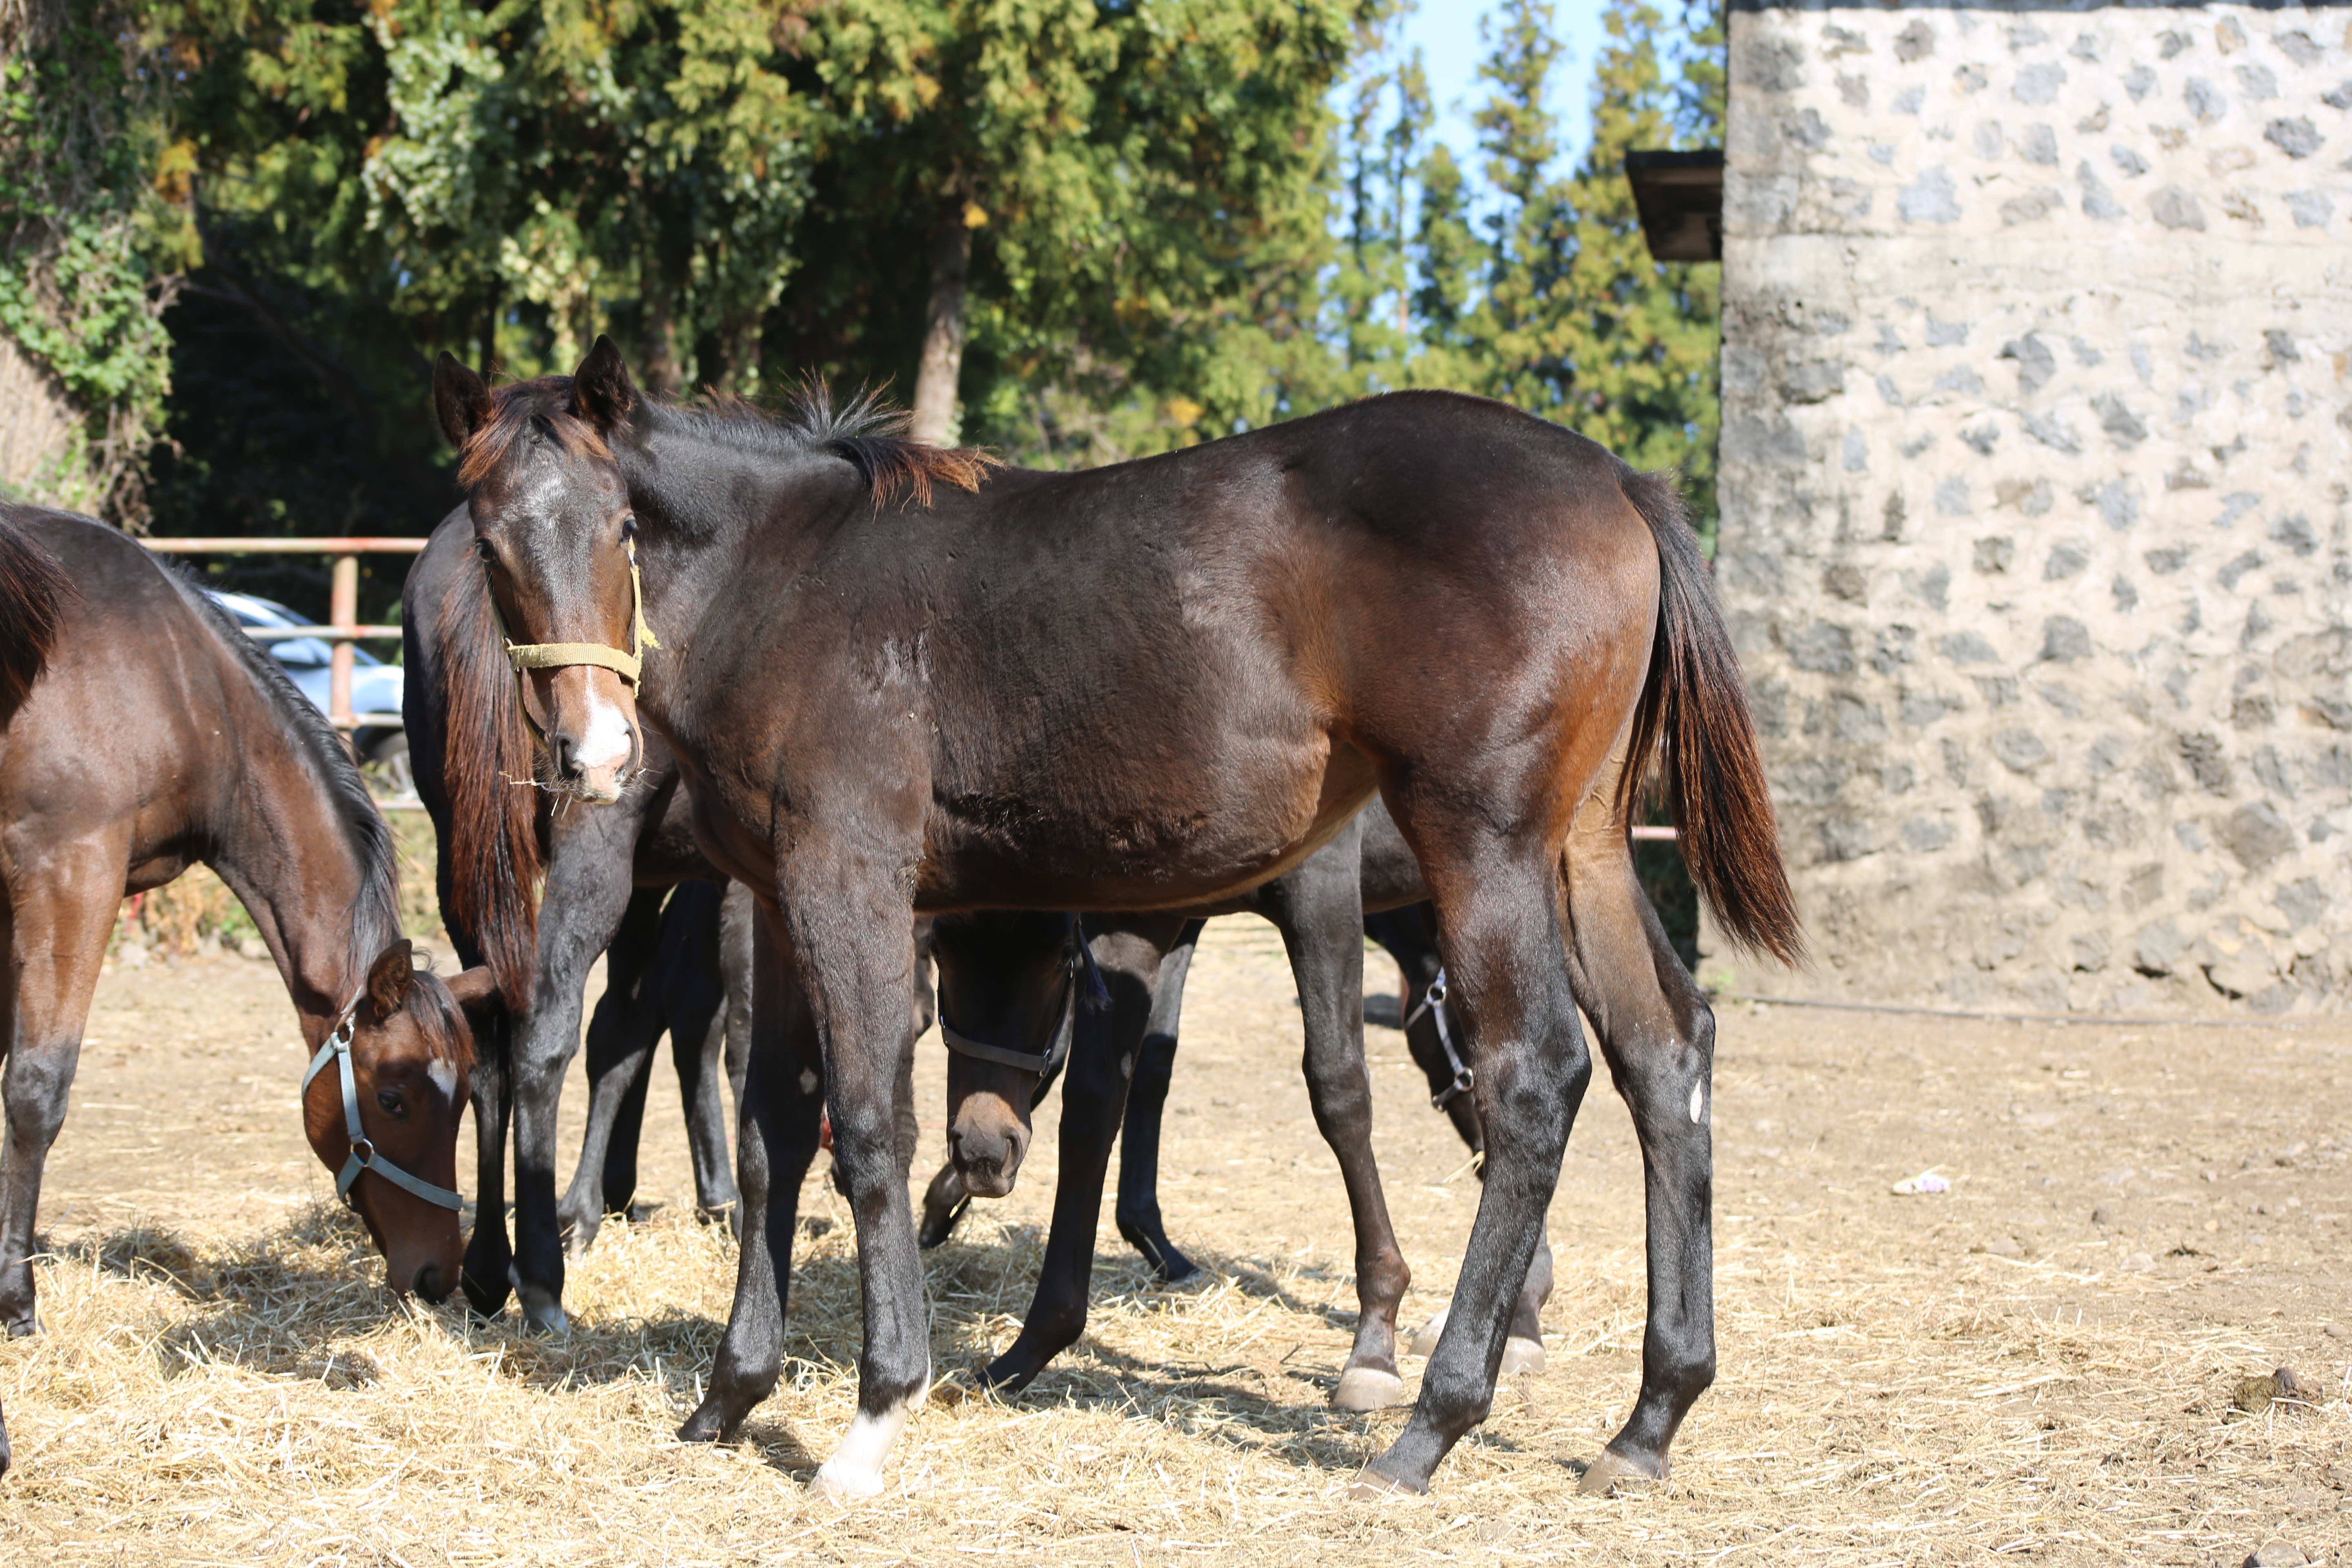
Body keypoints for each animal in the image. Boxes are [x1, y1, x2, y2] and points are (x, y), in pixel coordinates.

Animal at [0, 510, 491, 1316]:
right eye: (393, 1100)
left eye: (463, 1104)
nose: (436, 1276)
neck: (179, 688)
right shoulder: (69, 872)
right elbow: (36, 1087)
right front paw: (17, 1298)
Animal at [437, 341, 1797, 1495]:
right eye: (494, 547)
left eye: (621, 529)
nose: (589, 750)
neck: (787, 580)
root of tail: (1617, 480)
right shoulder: (776, 898)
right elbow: (778, 1132)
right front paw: (729, 1396)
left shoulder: (849, 876)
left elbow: (870, 1126)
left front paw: (874, 1413)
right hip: (1583, 850)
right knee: (1665, 1051)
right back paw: (1650, 1418)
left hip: (1485, 841)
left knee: (1533, 1078)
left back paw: (1431, 1423)